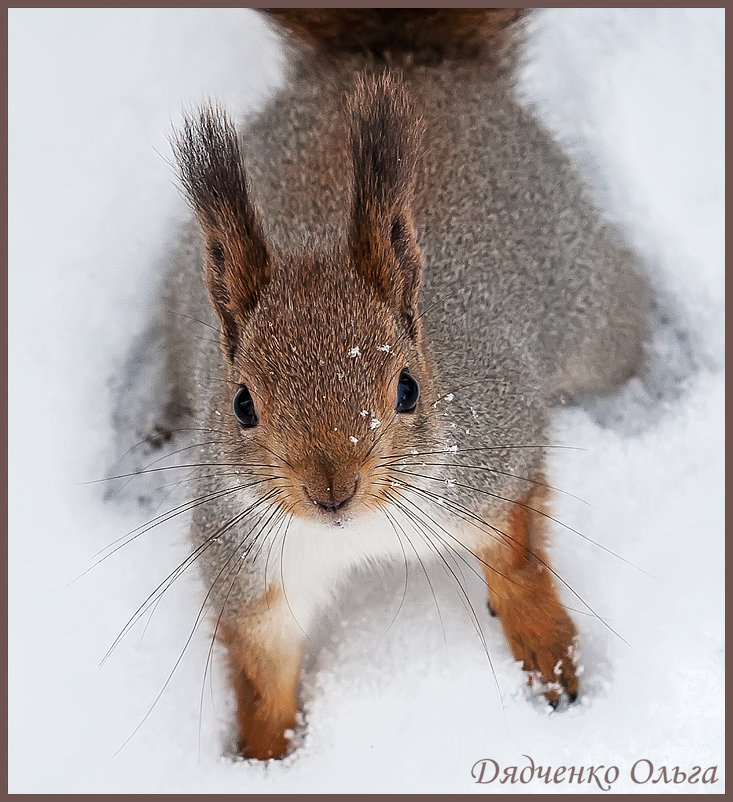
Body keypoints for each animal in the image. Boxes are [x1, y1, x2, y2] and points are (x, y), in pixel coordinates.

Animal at [153, 9, 648, 760]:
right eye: (241, 404)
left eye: (408, 389)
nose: (332, 490)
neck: (359, 534)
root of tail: (404, 56)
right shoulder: (249, 561)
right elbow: (264, 668)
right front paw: (265, 759)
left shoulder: (493, 450)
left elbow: (518, 557)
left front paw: (547, 654)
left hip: (595, 317)